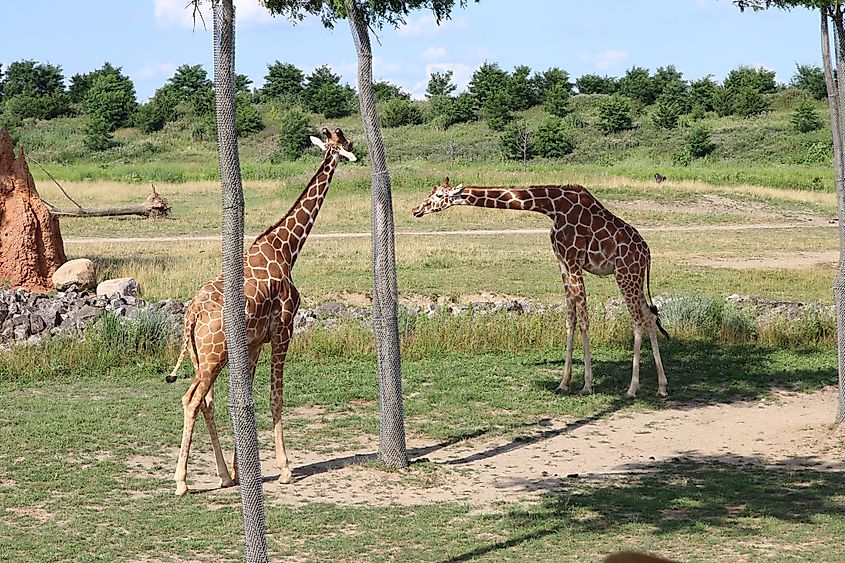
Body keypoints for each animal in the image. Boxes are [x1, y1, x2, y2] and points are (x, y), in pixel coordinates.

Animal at [166, 127, 356, 496]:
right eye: (345, 142)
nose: (355, 152)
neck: (287, 249)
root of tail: (191, 314)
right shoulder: (283, 330)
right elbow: (275, 397)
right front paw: (284, 469)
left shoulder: (253, 342)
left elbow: (244, 399)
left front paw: (240, 470)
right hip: (213, 357)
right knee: (191, 400)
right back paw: (181, 481)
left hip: (201, 356)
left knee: (206, 401)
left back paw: (223, 476)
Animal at [411, 178, 669, 398]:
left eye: (438, 195)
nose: (416, 210)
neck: (552, 208)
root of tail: (647, 253)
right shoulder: (563, 263)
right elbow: (570, 320)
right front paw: (563, 383)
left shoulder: (573, 261)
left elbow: (584, 321)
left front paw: (586, 385)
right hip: (634, 278)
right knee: (649, 315)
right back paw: (662, 386)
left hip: (625, 274)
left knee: (637, 320)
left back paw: (632, 389)